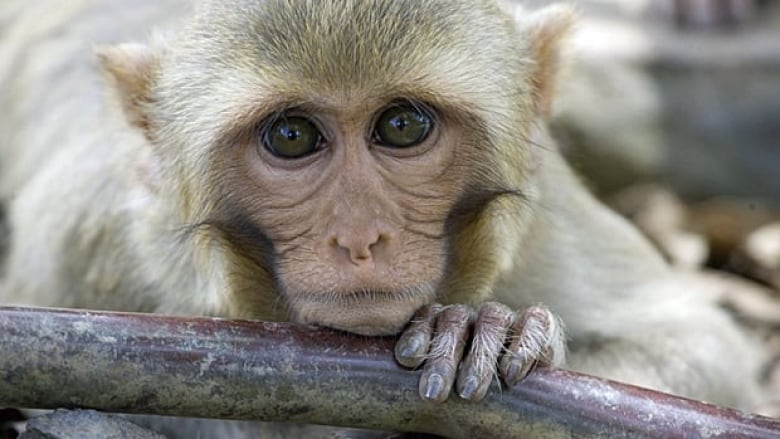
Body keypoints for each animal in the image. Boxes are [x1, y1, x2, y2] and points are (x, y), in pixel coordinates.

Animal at [0, 0, 764, 436]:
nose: (360, 237)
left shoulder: (546, 216)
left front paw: (486, 330)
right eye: (291, 137)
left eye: (401, 125)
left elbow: (699, 345)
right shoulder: (90, 244)